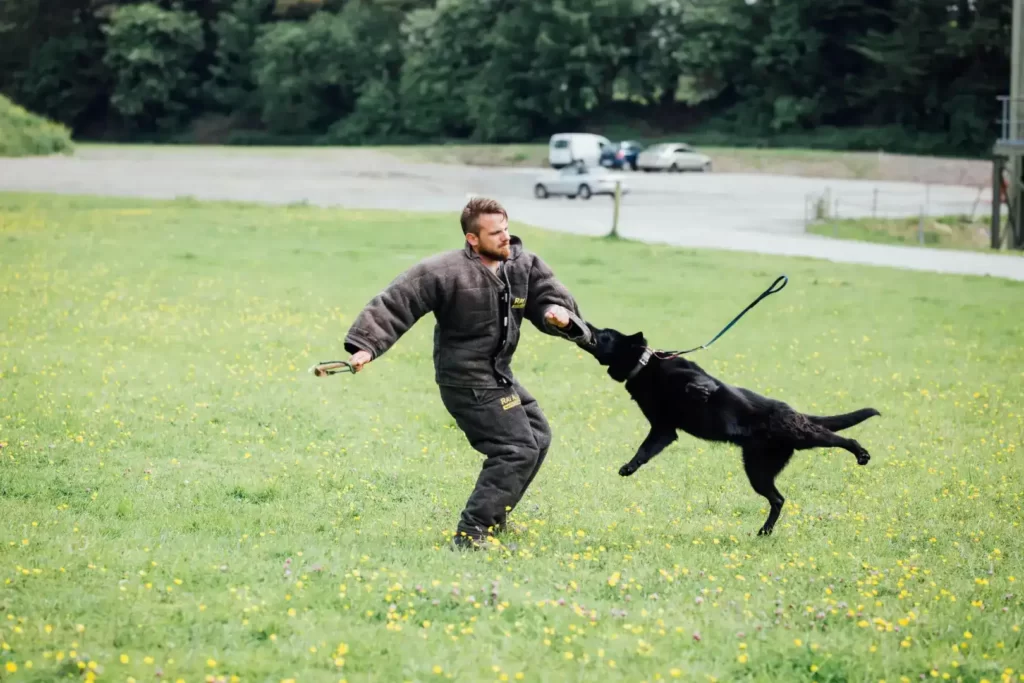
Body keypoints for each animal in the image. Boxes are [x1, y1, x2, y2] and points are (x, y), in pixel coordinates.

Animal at [577, 323, 880, 536]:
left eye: (605, 334)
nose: (587, 324)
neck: (645, 367)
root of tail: (794, 412)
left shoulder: (682, 390)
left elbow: (696, 383)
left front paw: (699, 391)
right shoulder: (663, 429)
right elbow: (644, 450)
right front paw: (629, 467)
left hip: (801, 436)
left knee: (840, 438)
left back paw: (860, 453)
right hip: (759, 470)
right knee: (779, 499)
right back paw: (764, 531)